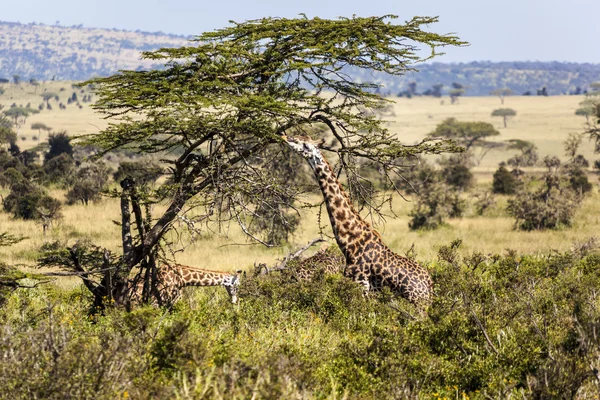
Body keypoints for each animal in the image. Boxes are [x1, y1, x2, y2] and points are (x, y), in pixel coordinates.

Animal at [284, 138, 434, 306]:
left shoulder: (359, 284)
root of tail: (429, 286)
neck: (351, 242)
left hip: (418, 303)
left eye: (301, 142)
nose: (284, 137)